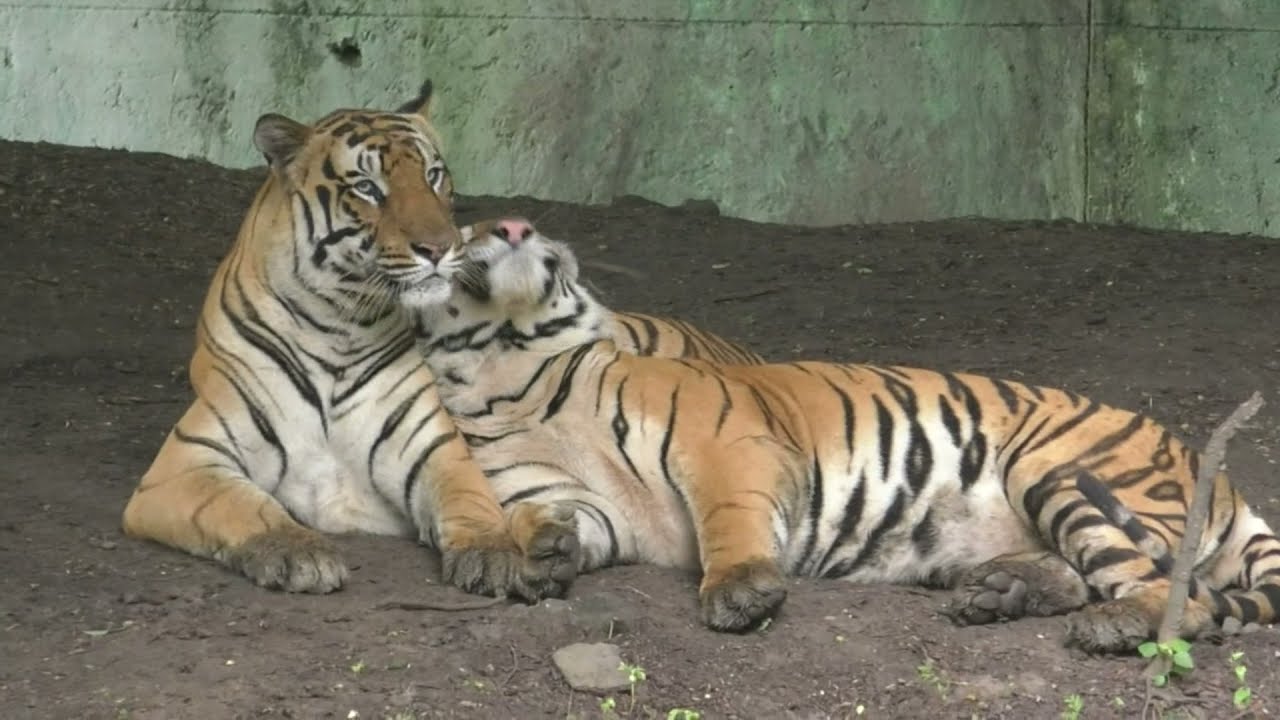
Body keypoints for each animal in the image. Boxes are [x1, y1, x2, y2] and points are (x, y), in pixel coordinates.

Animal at [120, 82, 587, 601]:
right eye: (367, 187)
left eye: (433, 175)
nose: (440, 247)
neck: (339, 323)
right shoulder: (187, 461)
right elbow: (244, 504)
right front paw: (297, 552)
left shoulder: (435, 449)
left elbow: (472, 498)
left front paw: (494, 552)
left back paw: (551, 545)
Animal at [409, 216, 1280, 652]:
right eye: (473, 225)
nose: (514, 225)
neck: (511, 364)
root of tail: (1219, 477)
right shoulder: (592, 506)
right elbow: (554, 520)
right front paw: (540, 554)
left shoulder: (722, 442)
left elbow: (728, 520)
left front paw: (741, 591)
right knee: (1084, 572)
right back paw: (999, 591)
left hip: (1063, 470)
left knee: (1171, 597)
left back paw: (1111, 626)